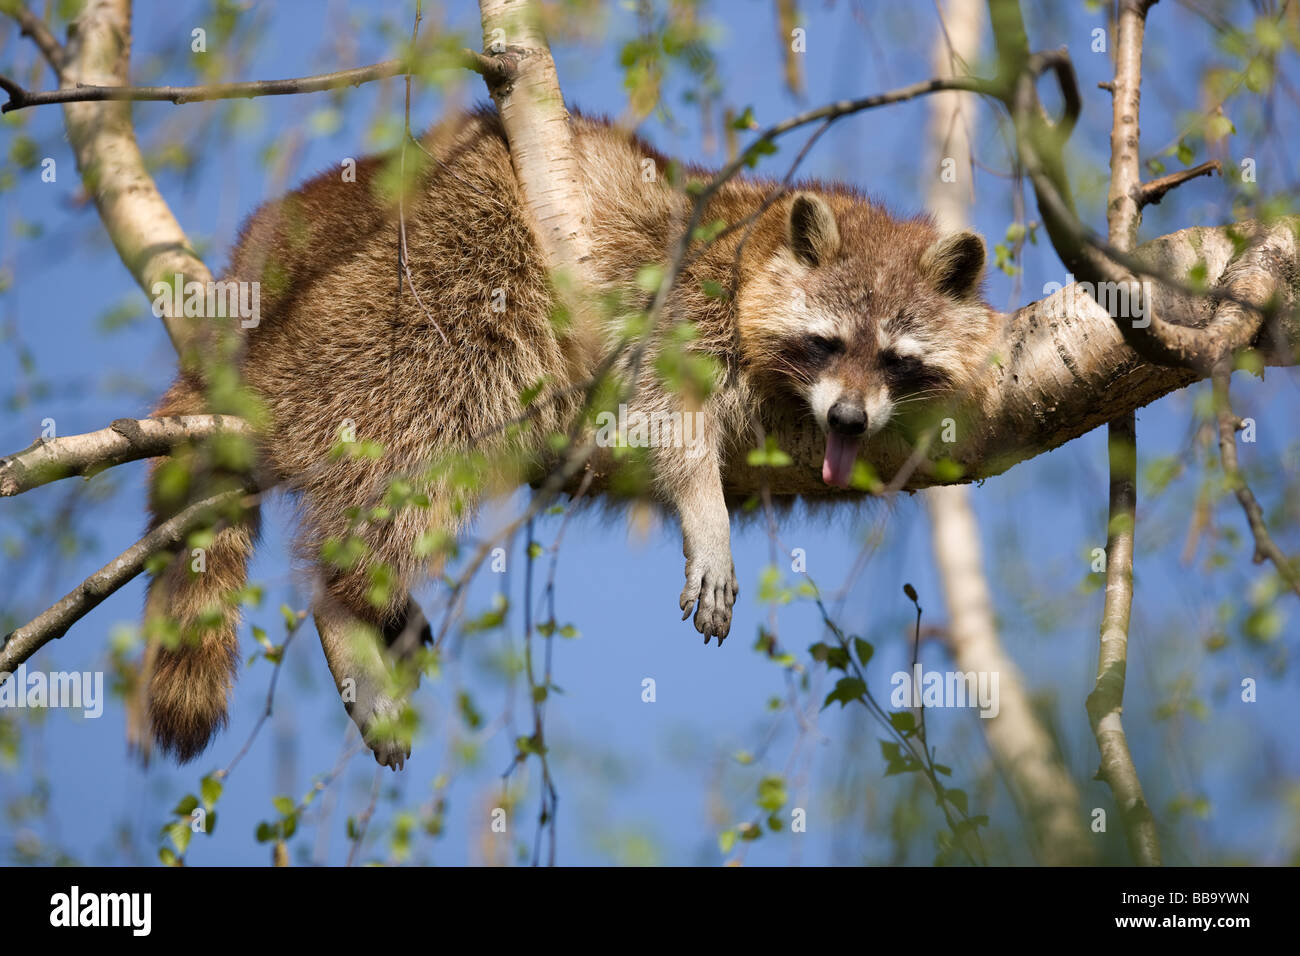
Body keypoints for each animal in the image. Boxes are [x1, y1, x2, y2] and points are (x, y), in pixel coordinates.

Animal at [142, 104, 993, 764]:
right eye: (826, 342)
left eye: (895, 358)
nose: (848, 419)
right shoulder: (686, 293)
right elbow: (664, 405)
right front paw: (706, 514)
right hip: (417, 278)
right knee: (431, 407)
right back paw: (343, 602)